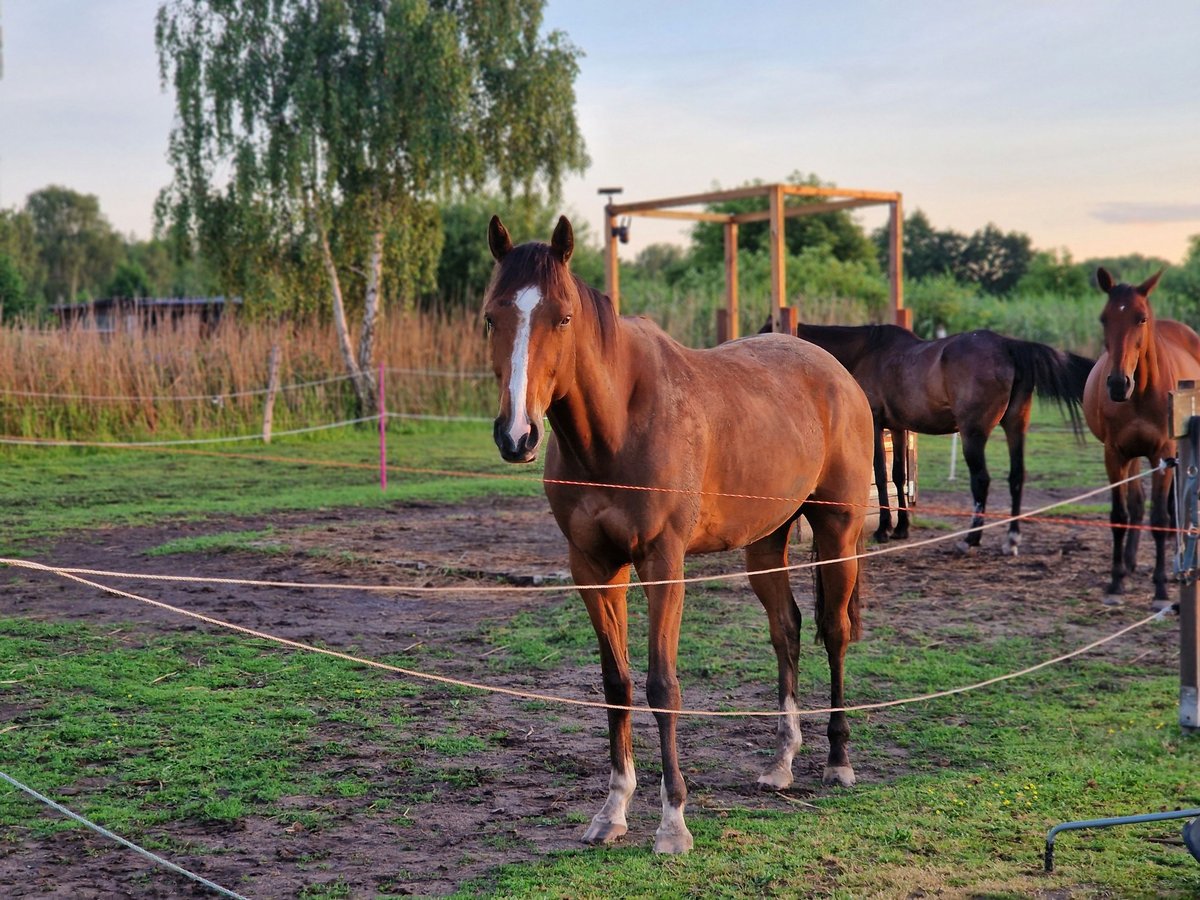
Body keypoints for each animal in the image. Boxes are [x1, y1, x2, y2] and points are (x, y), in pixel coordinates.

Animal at [484, 214, 873, 854]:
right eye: (493, 316)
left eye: (561, 317)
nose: (517, 435)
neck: (616, 426)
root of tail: (836, 371)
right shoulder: (593, 567)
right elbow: (616, 682)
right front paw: (612, 810)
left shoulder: (663, 564)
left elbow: (662, 685)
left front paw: (673, 823)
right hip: (764, 544)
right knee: (786, 630)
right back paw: (782, 763)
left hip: (837, 532)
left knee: (834, 633)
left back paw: (838, 760)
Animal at [768, 321, 1099, 554]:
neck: (867, 352)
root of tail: (1007, 346)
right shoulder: (898, 428)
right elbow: (898, 476)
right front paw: (901, 528)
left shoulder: (877, 424)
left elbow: (880, 474)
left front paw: (884, 529)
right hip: (1015, 427)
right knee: (1017, 476)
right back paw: (1011, 540)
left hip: (973, 433)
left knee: (981, 480)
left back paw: (970, 539)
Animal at [1084, 267, 1200, 607]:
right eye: (1104, 318)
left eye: (1141, 318)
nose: (1117, 384)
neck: (1141, 393)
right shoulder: (1115, 454)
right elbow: (1120, 514)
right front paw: (1115, 583)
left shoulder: (1162, 453)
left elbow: (1159, 518)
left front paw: (1160, 588)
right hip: (1133, 456)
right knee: (1135, 505)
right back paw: (1129, 563)